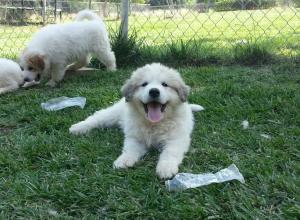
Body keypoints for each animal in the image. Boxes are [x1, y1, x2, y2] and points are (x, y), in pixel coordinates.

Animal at [69, 62, 203, 179]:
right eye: (144, 84)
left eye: (165, 84)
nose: (154, 91)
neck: (153, 123)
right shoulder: (135, 137)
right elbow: (130, 149)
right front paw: (123, 160)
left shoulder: (176, 139)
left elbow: (170, 153)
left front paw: (166, 168)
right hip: (114, 113)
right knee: (97, 118)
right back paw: (78, 128)